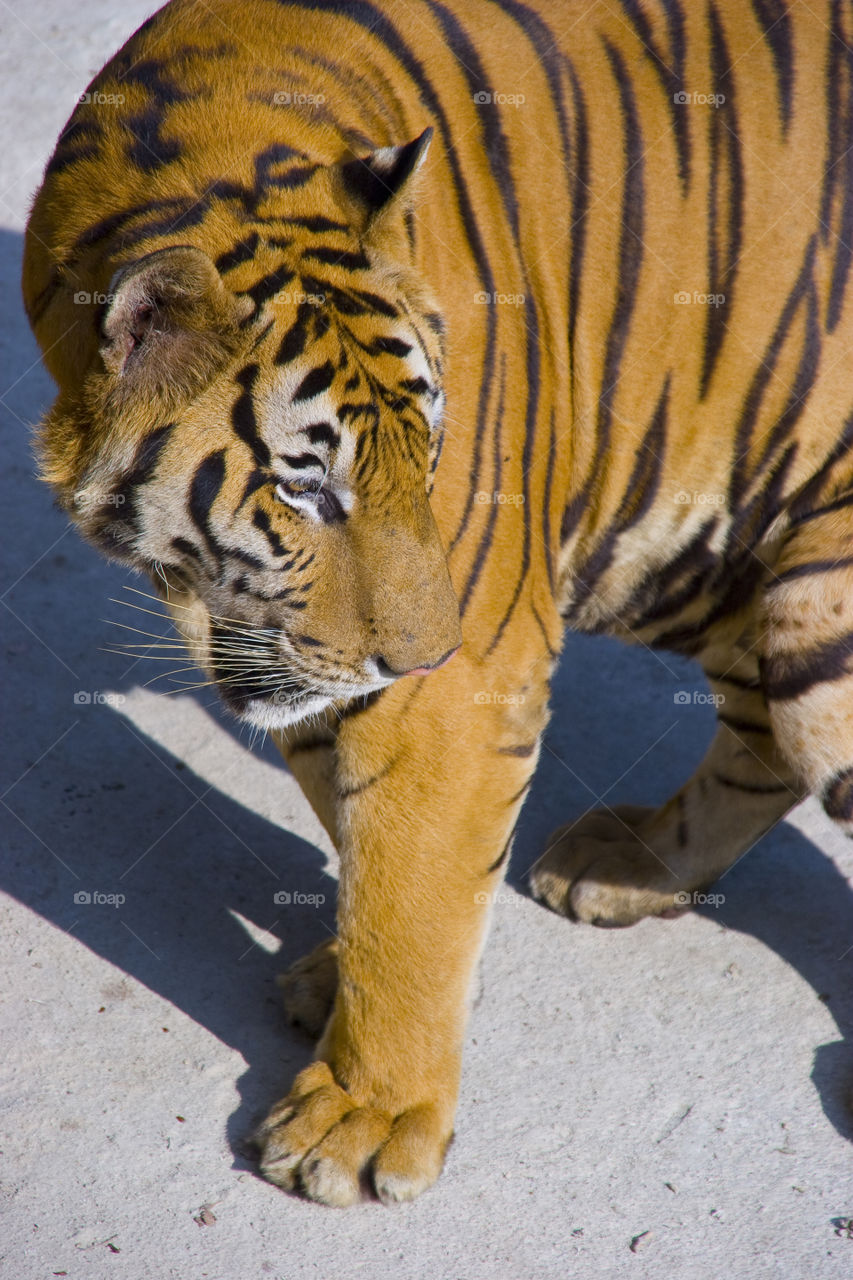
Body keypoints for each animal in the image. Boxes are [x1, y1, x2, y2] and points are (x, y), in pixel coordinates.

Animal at [23, 0, 850, 1208]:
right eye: (305, 486)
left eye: (426, 450)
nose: (417, 656)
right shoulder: (299, 653)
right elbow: (364, 829)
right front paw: (336, 979)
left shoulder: (464, 682)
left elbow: (413, 885)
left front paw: (363, 1115)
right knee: (758, 740)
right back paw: (628, 864)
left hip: (810, 594)